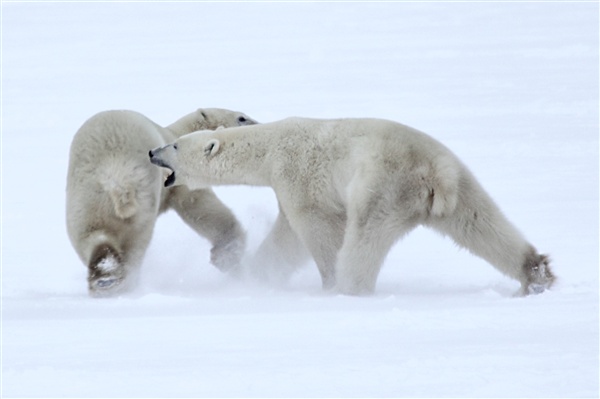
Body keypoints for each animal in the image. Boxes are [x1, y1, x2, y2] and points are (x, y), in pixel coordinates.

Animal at [66, 108, 258, 296]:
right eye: (241, 118)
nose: (258, 124)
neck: (175, 135)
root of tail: (115, 176)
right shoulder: (178, 175)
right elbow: (200, 206)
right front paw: (227, 254)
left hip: (85, 201)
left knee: (92, 235)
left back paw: (105, 277)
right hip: (141, 199)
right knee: (135, 245)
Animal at [148, 117, 556, 296]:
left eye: (175, 145)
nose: (152, 152)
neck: (270, 146)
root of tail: (435, 173)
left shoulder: (299, 177)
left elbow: (315, 228)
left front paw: (326, 282)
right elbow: (287, 236)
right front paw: (255, 274)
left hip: (382, 184)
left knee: (364, 238)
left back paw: (349, 289)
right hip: (459, 182)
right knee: (482, 224)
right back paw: (535, 274)